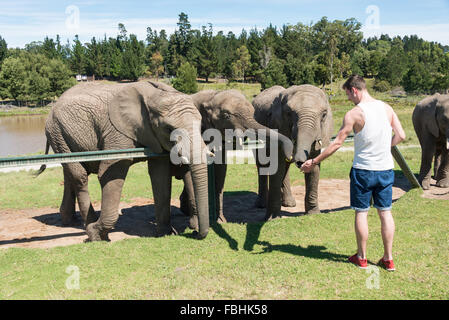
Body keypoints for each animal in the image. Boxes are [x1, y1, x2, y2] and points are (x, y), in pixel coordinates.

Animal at [37, 80, 209, 242]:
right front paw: (96, 235)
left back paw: (70, 221)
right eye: (169, 129)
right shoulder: (117, 132)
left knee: (70, 173)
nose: (195, 233)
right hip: (57, 132)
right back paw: (89, 223)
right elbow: (111, 174)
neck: (153, 95)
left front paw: (165, 233)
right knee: (79, 176)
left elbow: (160, 175)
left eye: (201, 123)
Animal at [252, 84, 332, 220]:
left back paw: (289, 204)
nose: (300, 163)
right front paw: (273, 218)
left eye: (324, 115)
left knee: (286, 167)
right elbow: (277, 165)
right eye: (289, 113)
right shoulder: (277, 126)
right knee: (261, 164)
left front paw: (314, 213)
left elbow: (314, 167)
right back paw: (261, 205)